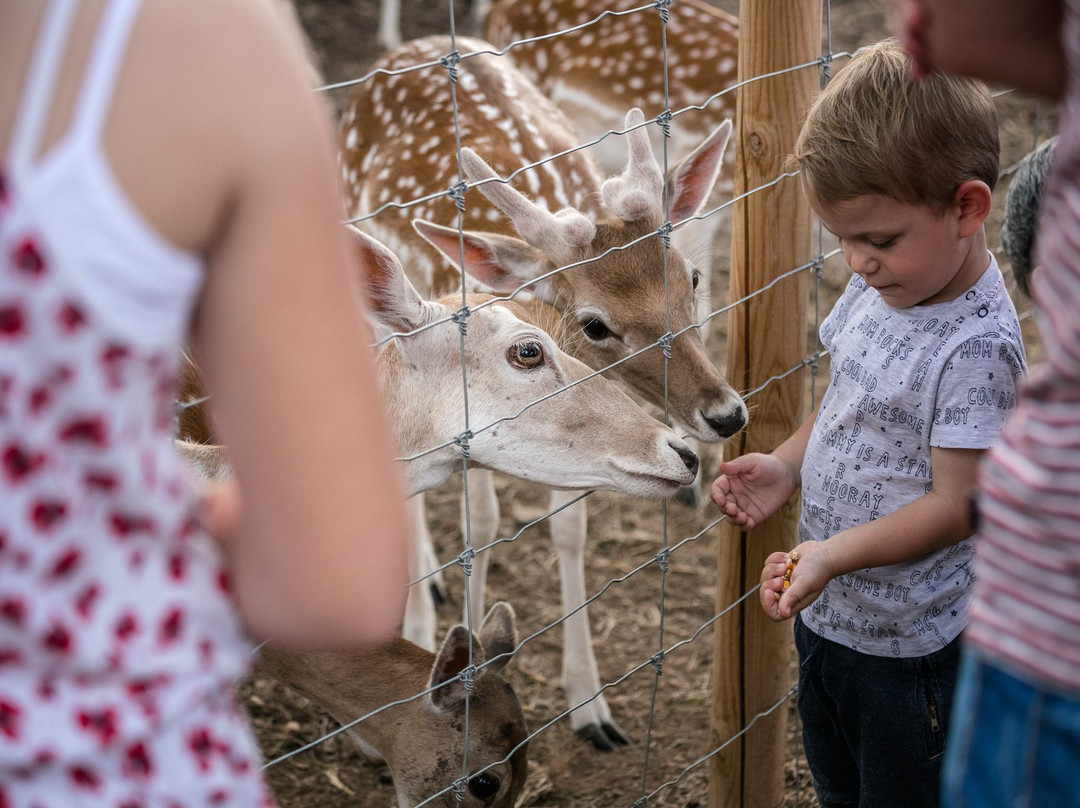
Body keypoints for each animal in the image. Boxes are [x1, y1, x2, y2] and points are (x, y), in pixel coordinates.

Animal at [341, 34, 747, 747]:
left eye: (693, 279)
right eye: (596, 323)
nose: (727, 414)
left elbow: (570, 528)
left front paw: (591, 707)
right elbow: (482, 522)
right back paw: (421, 607)